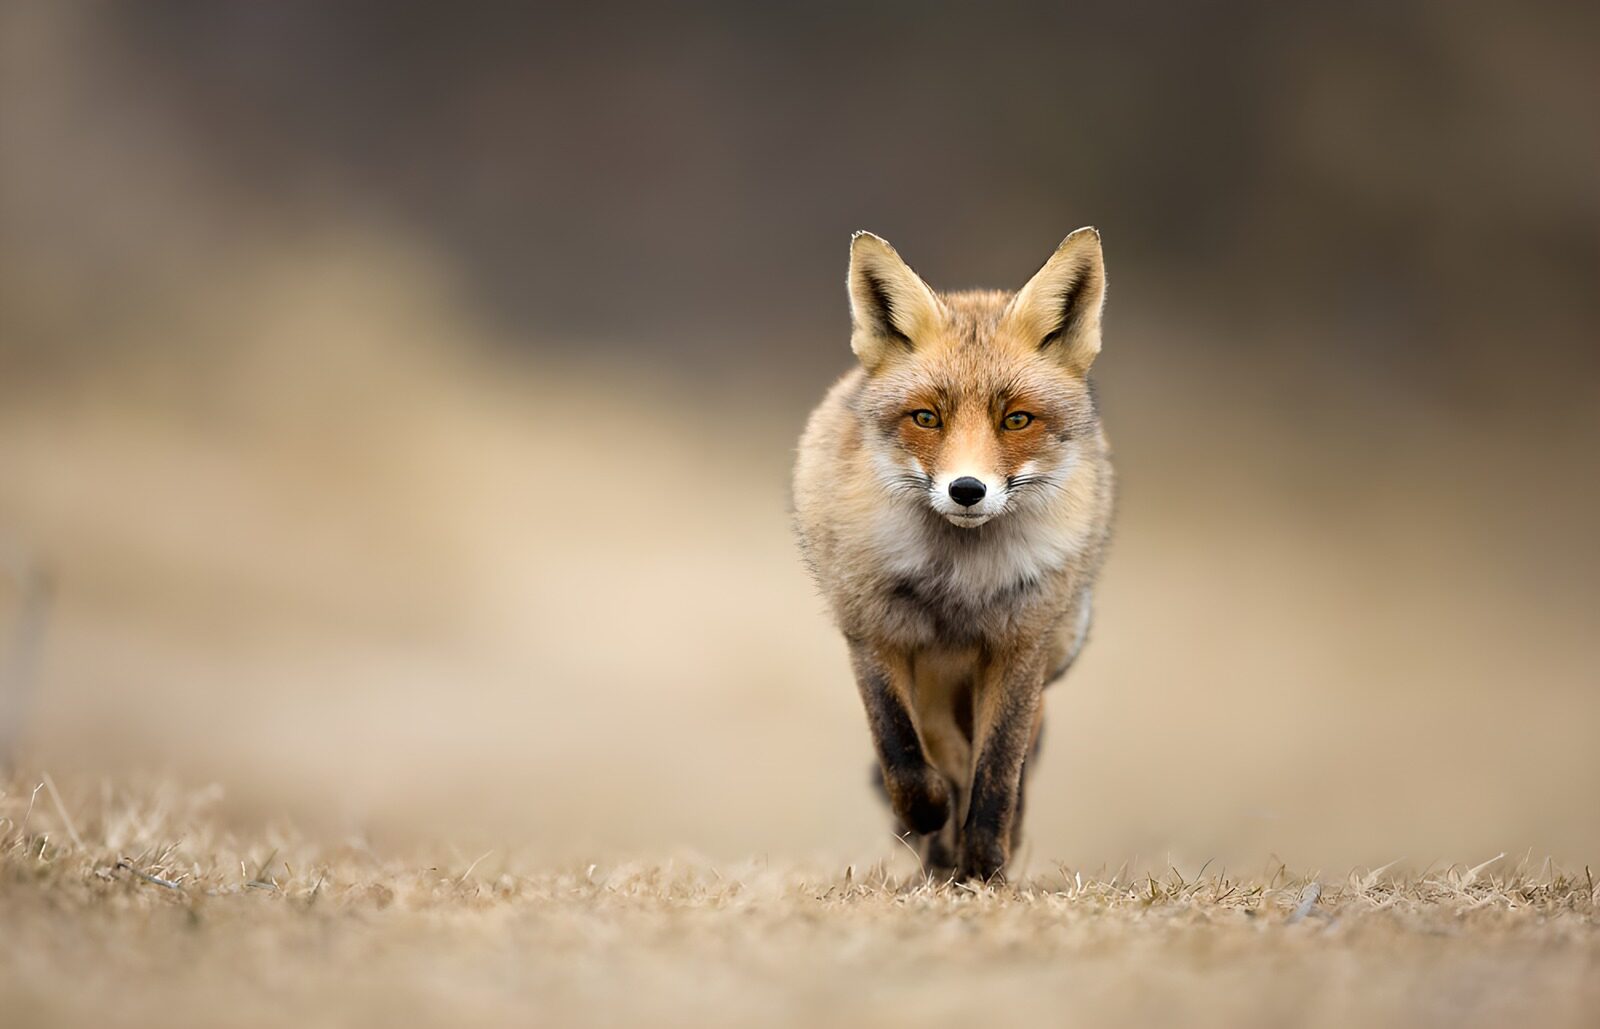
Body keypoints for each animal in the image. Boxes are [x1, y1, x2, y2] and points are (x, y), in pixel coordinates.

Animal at [792, 228, 1115, 882]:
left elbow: (998, 772)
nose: (967, 490)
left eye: (1016, 419)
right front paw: (930, 818)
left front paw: (987, 867)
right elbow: (902, 753)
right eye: (926, 417)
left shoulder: (1020, 646)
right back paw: (937, 850)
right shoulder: (874, 634)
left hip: (1042, 653)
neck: (959, 580)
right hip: (935, 674)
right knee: (942, 749)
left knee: (1005, 760)